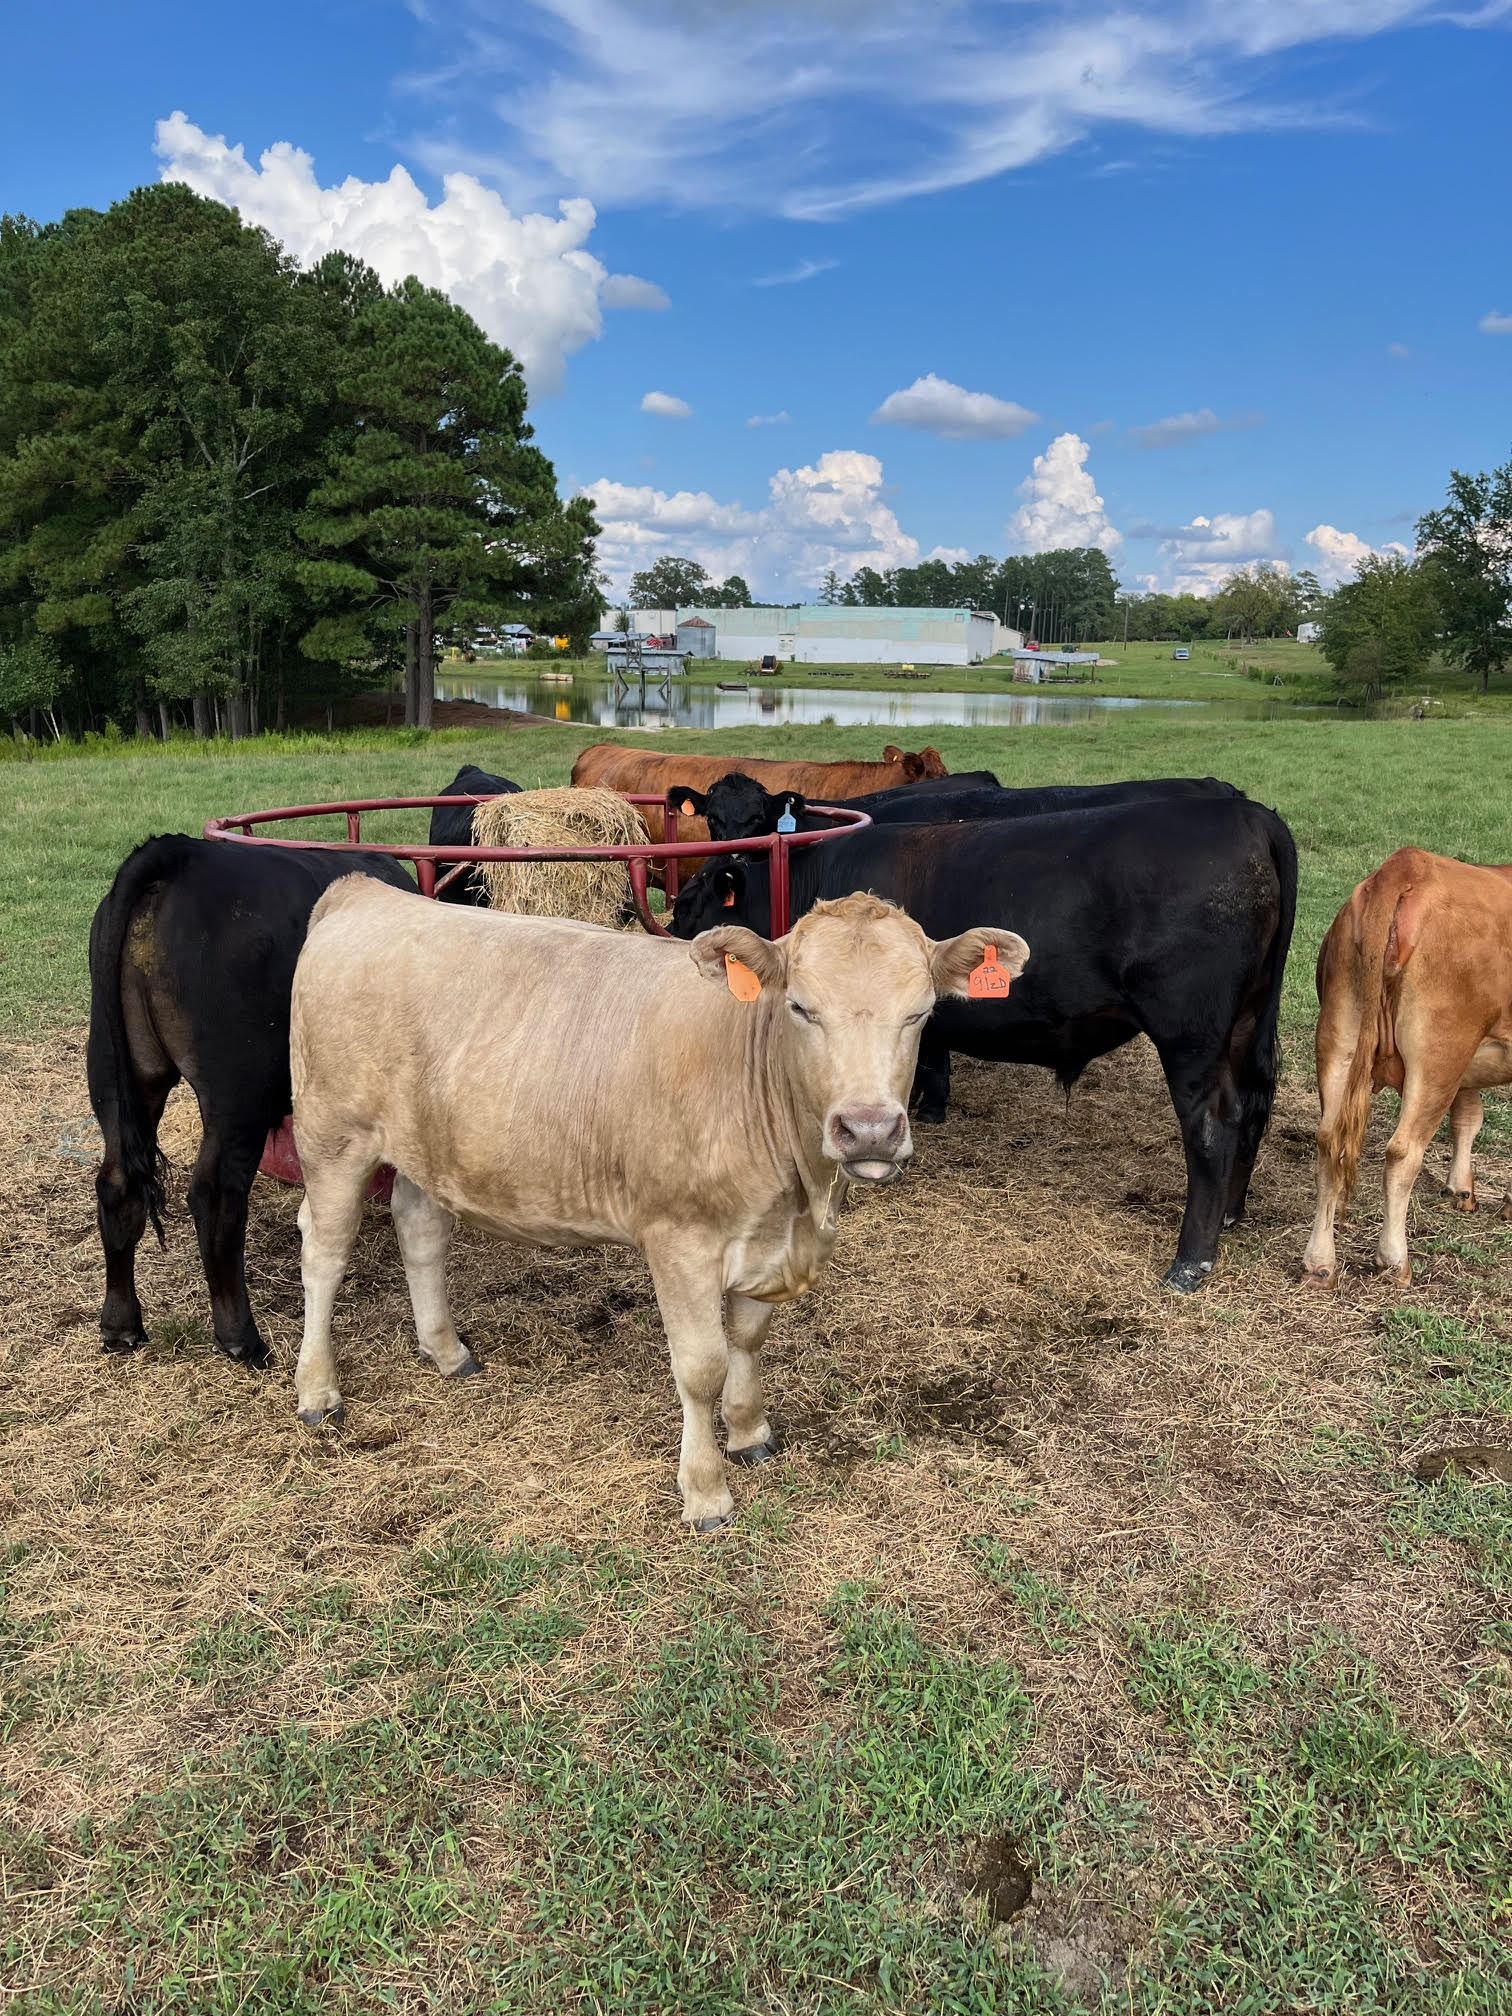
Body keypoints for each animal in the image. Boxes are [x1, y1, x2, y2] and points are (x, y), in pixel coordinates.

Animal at [87, 836, 414, 1365]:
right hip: (236, 1093)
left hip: (117, 1075)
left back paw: (120, 1326)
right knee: (216, 1195)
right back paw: (241, 1336)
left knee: (117, 1184)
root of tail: (179, 854)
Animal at [287, 880, 1029, 1527]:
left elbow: (748, 1339)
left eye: (921, 1011)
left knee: (419, 1229)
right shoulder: (680, 1240)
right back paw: (318, 1391)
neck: (798, 1198)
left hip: (423, 1143)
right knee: (324, 1252)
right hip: (333, 1136)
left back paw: (445, 1350)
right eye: (800, 1007)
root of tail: (363, 892)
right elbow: (701, 1366)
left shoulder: (766, 1238)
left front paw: (750, 1431)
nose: (870, 1128)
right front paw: (705, 1491)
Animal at [671, 796, 1297, 1293]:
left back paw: (1191, 1260)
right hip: (1246, 1025)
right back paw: (1232, 1215)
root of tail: (1249, 814)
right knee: (1252, 1108)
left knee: (1213, 1126)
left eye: (690, 904)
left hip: (1192, 1036)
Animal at [1303, 848, 1512, 1288]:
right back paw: (1394, 1260)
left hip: (1338, 1036)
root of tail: (1408, 864)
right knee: (1402, 1152)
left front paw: (1460, 1190)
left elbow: (1468, 1117)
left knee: (1329, 1141)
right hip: (1439, 1053)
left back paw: (1319, 1262)